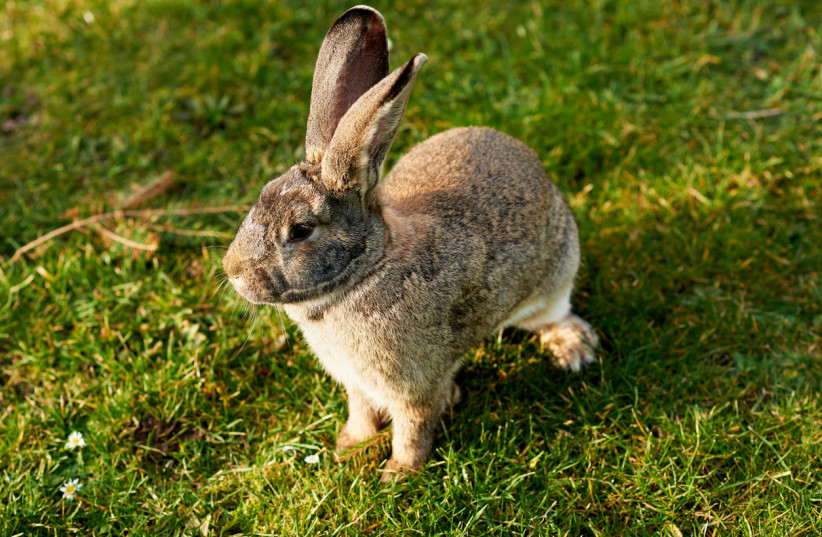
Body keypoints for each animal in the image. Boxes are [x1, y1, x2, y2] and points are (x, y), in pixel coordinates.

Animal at [222, 5, 598, 481]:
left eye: (301, 230)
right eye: (262, 194)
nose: (231, 271)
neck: (365, 272)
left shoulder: (412, 385)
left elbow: (413, 427)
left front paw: (399, 473)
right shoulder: (358, 383)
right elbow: (361, 411)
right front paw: (349, 445)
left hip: (556, 275)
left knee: (554, 315)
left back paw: (575, 350)